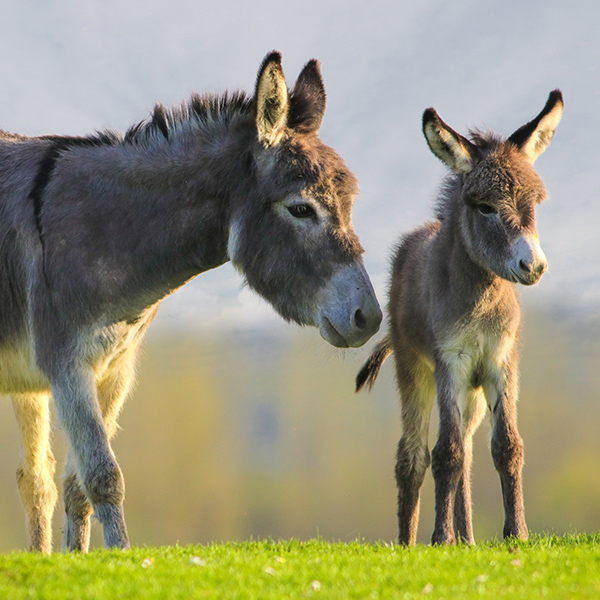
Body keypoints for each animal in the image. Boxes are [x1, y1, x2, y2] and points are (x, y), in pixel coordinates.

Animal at [358, 91, 564, 548]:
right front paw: (439, 538)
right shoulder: (450, 362)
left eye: (535, 203)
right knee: (413, 454)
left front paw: (517, 533)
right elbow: (445, 453)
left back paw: (467, 538)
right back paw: (411, 540)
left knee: (468, 450)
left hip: (472, 389)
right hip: (415, 369)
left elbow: (506, 446)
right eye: (485, 207)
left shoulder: (501, 362)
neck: (482, 301)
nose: (534, 266)